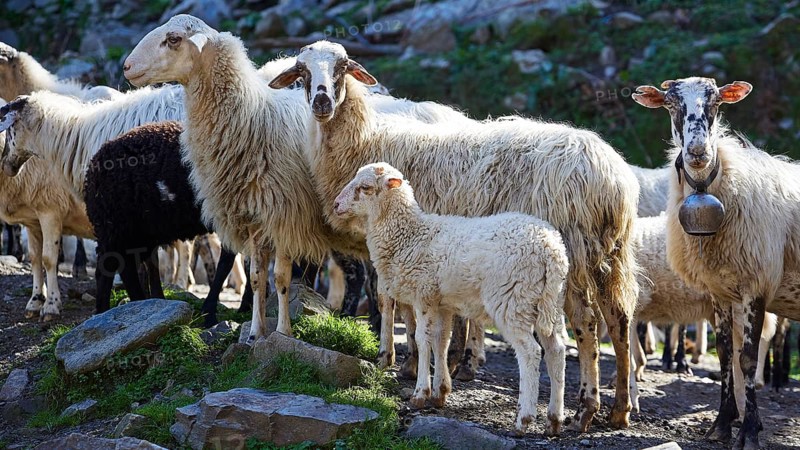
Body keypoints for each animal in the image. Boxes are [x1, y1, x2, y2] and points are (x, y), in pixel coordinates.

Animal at [335, 162, 568, 434]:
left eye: (365, 187)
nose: (336, 205)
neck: (409, 235)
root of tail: (550, 250)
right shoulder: (442, 304)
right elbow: (441, 342)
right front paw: (440, 392)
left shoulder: (423, 296)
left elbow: (423, 341)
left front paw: (420, 394)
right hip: (549, 303)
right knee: (556, 351)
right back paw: (554, 420)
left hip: (513, 300)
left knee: (530, 353)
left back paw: (524, 419)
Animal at [633, 77, 800, 449]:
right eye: (671, 104)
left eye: (716, 103)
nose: (697, 152)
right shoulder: (719, 292)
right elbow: (725, 354)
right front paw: (722, 426)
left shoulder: (756, 287)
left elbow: (747, 358)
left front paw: (749, 432)